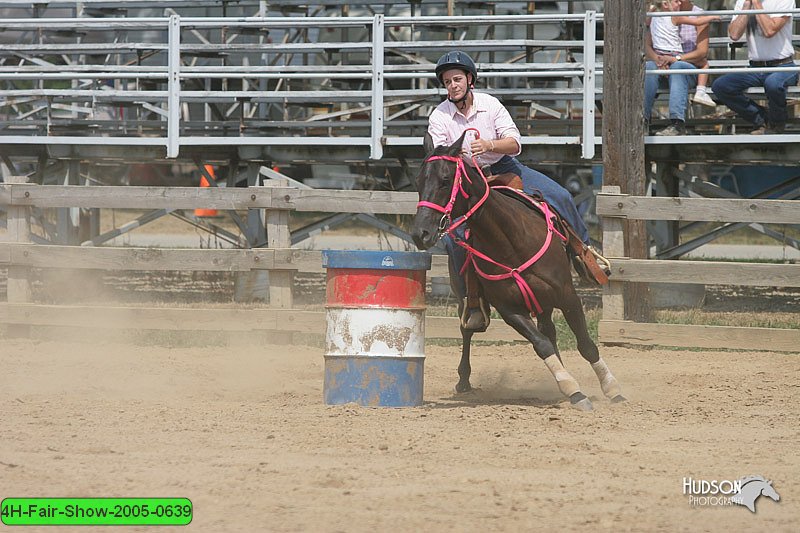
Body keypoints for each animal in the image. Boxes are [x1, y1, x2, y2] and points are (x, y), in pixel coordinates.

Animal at [412, 130, 624, 412]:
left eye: (445, 181)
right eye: (418, 181)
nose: (420, 233)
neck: (511, 241)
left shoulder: (568, 295)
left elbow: (586, 345)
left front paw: (612, 389)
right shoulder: (509, 308)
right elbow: (541, 344)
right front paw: (573, 389)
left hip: (546, 300)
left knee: (550, 330)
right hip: (463, 296)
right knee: (468, 330)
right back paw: (464, 380)